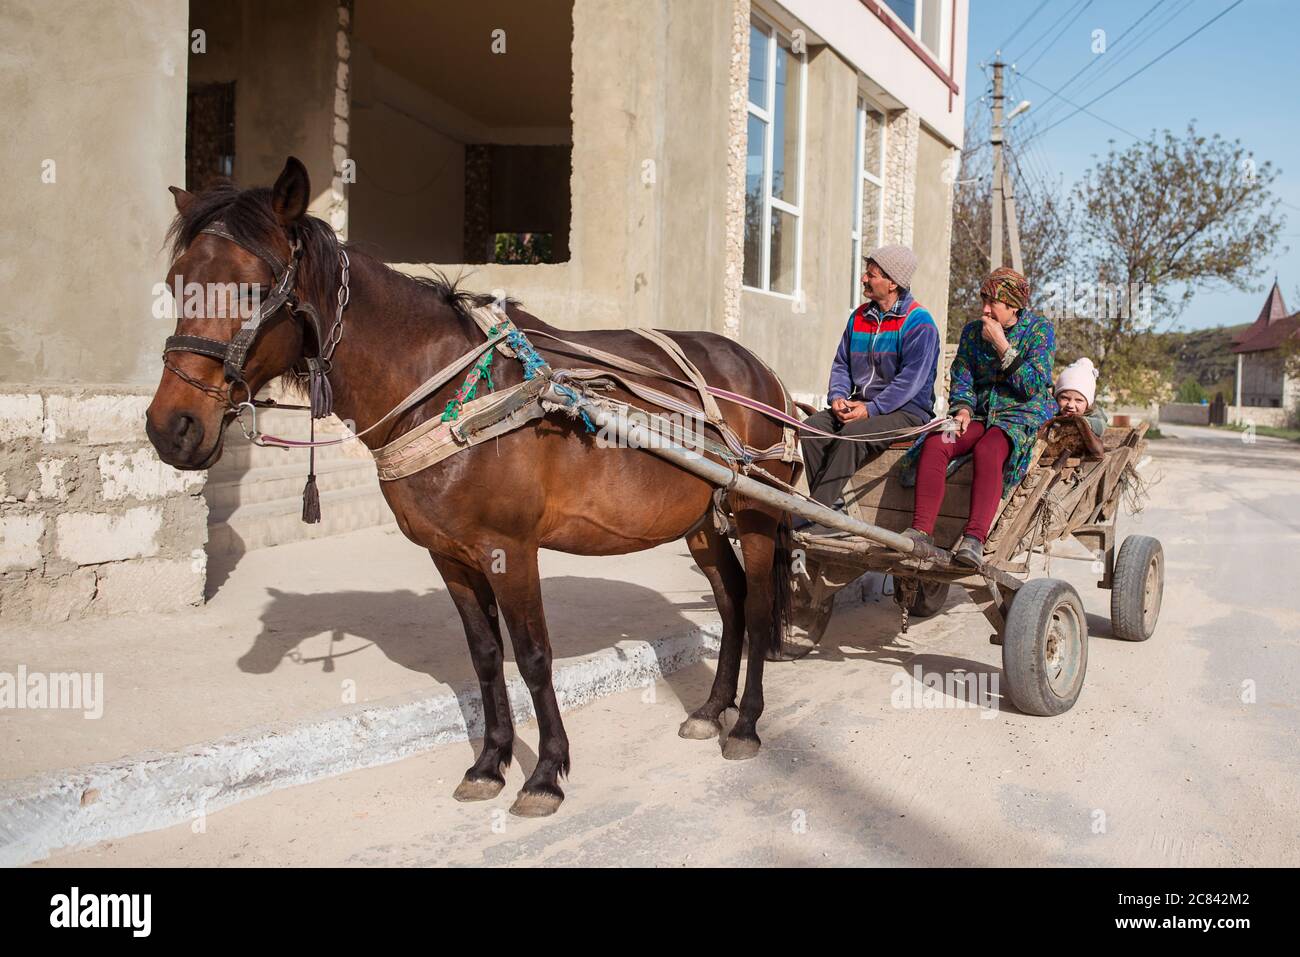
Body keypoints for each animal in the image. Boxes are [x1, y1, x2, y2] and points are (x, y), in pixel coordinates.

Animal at [146, 157, 797, 817]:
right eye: (176, 284)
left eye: (254, 289)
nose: (171, 429)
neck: (444, 388)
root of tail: (760, 369)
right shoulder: (450, 554)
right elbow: (485, 656)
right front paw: (490, 762)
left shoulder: (512, 549)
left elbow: (533, 656)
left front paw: (546, 773)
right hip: (701, 521)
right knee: (731, 599)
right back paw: (712, 709)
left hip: (756, 514)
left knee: (758, 605)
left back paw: (746, 724)